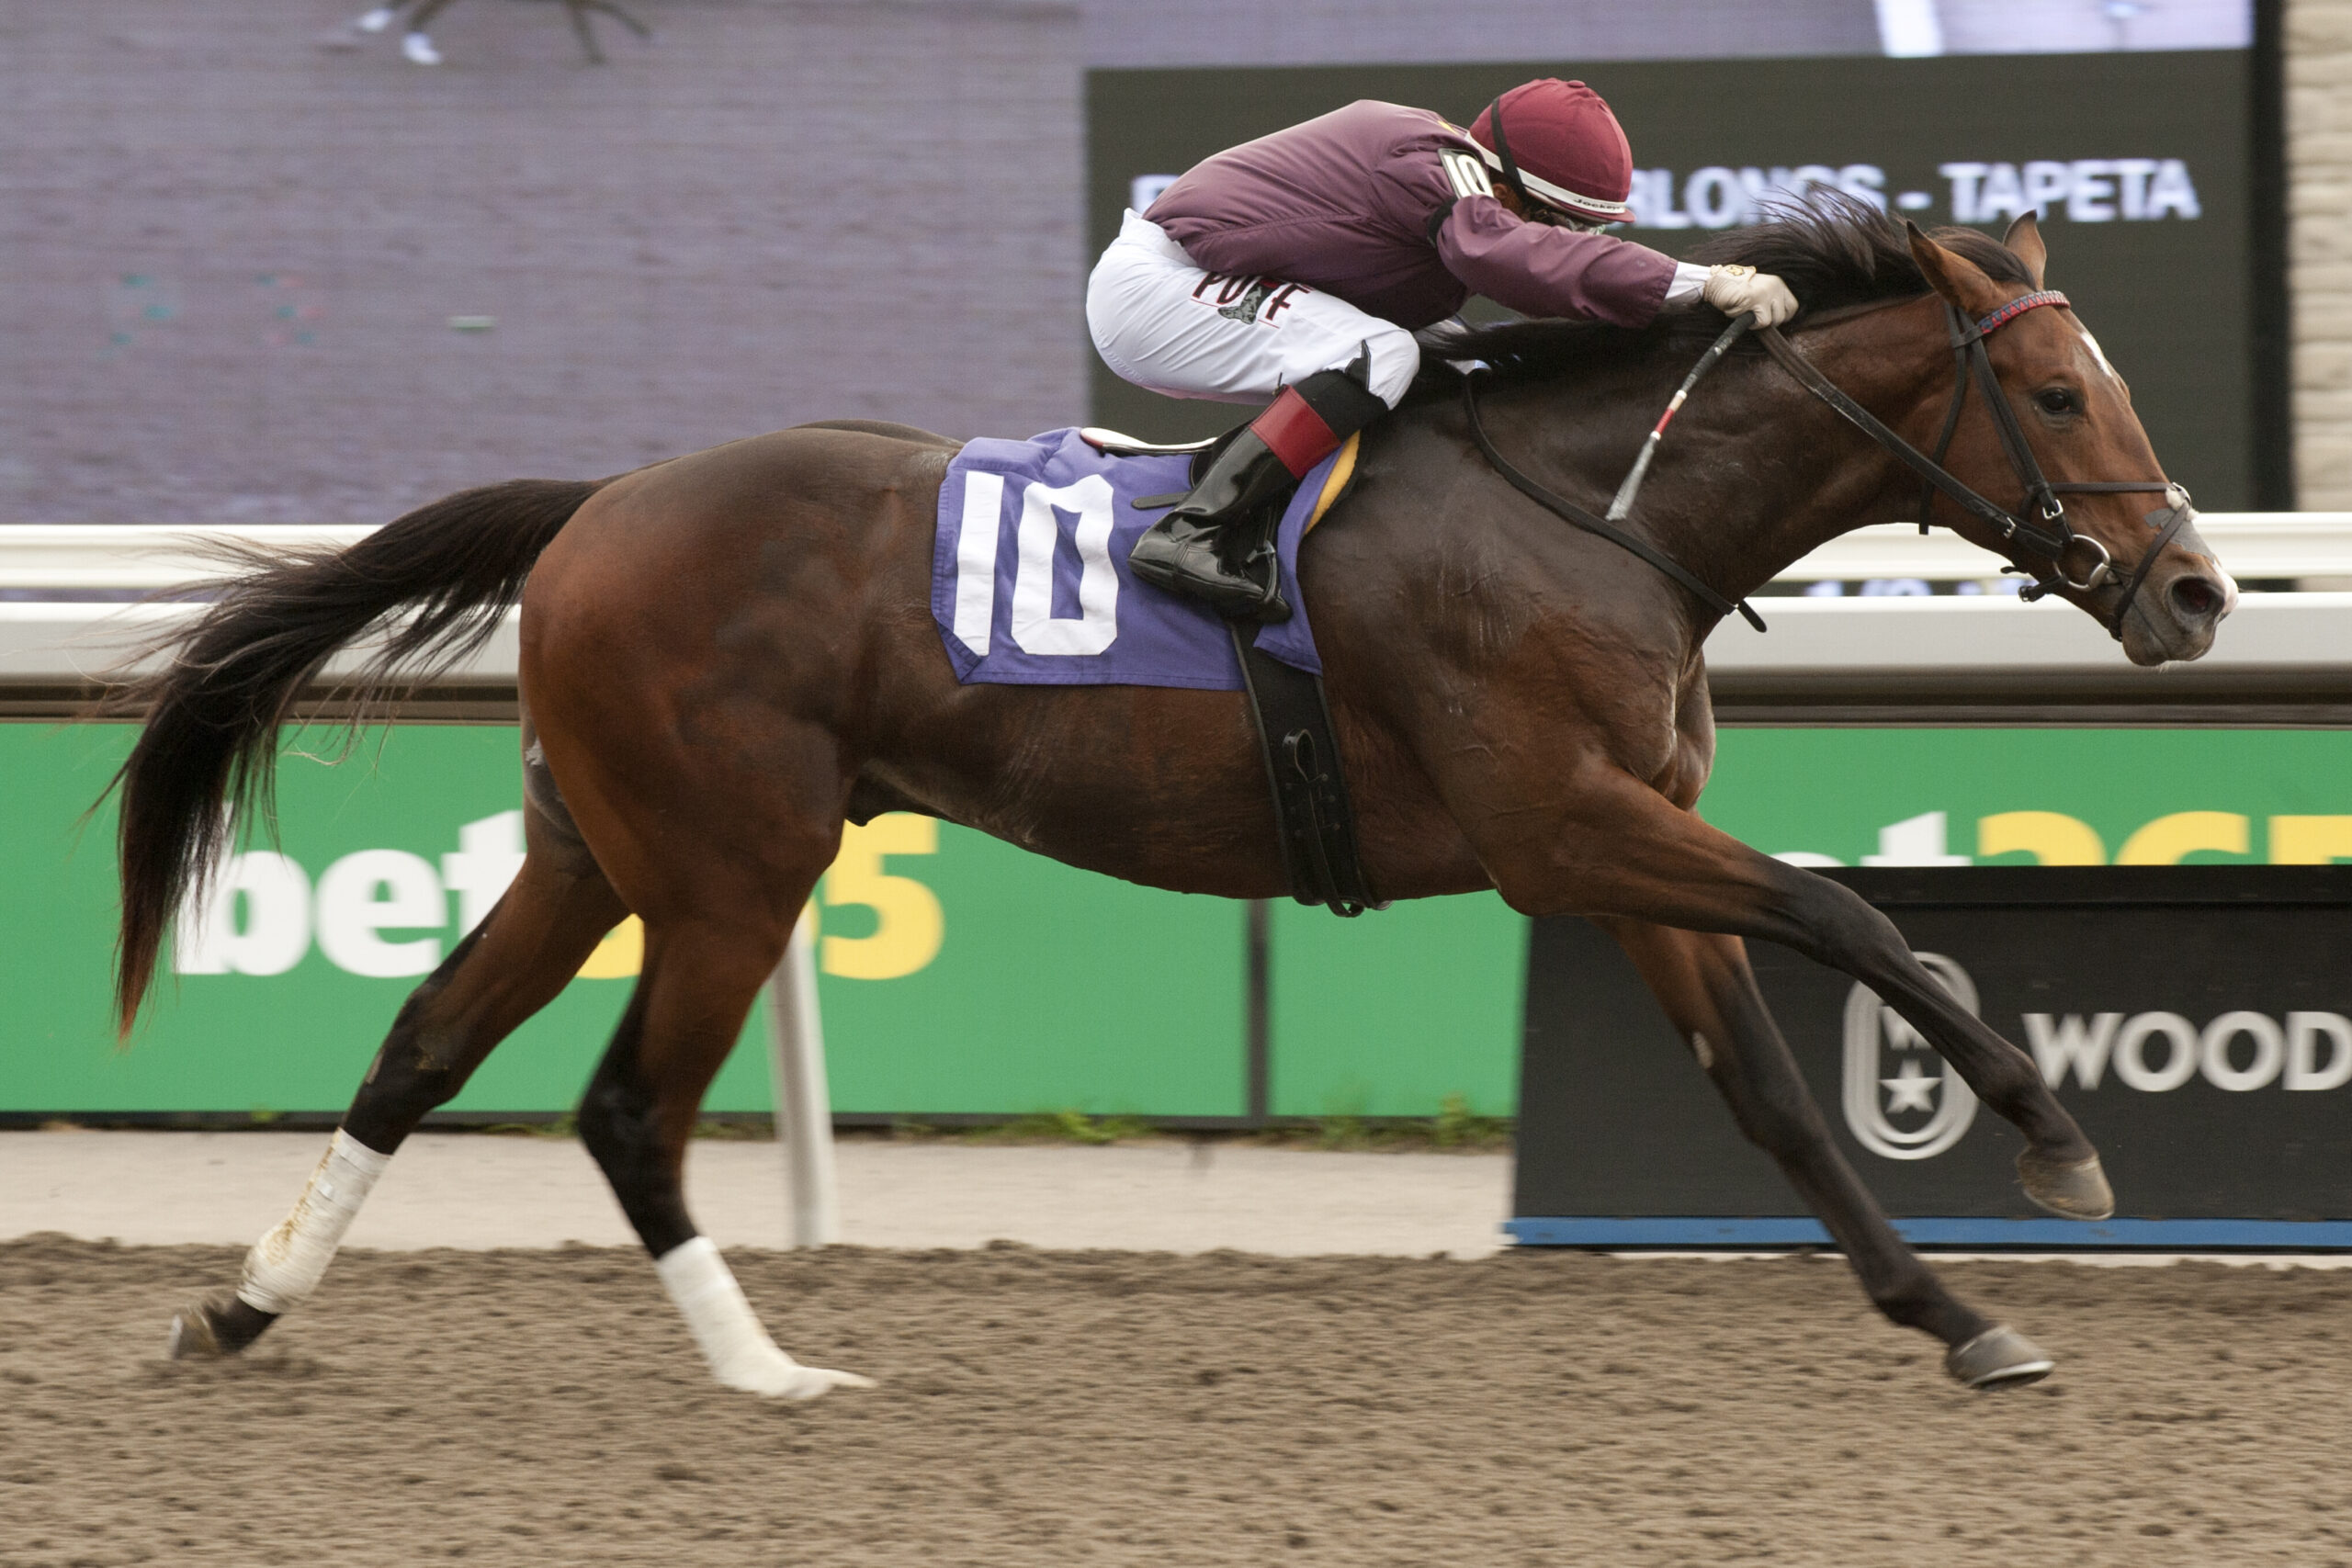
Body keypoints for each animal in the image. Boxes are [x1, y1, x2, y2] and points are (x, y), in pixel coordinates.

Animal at [119, 205, 2229, 1401]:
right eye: (2055, 397)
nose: (2197, 592)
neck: (1597, 510)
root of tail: (603, 503)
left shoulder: (1623, 854)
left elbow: (1774, 1092)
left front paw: (1955, 1314)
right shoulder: (1558, 828)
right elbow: (1855, 912)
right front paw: (2053, 1141)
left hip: (592, 848)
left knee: (420, 1046)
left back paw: (243, 1305)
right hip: (730, 868)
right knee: (628, 1108)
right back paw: (772, 1371)